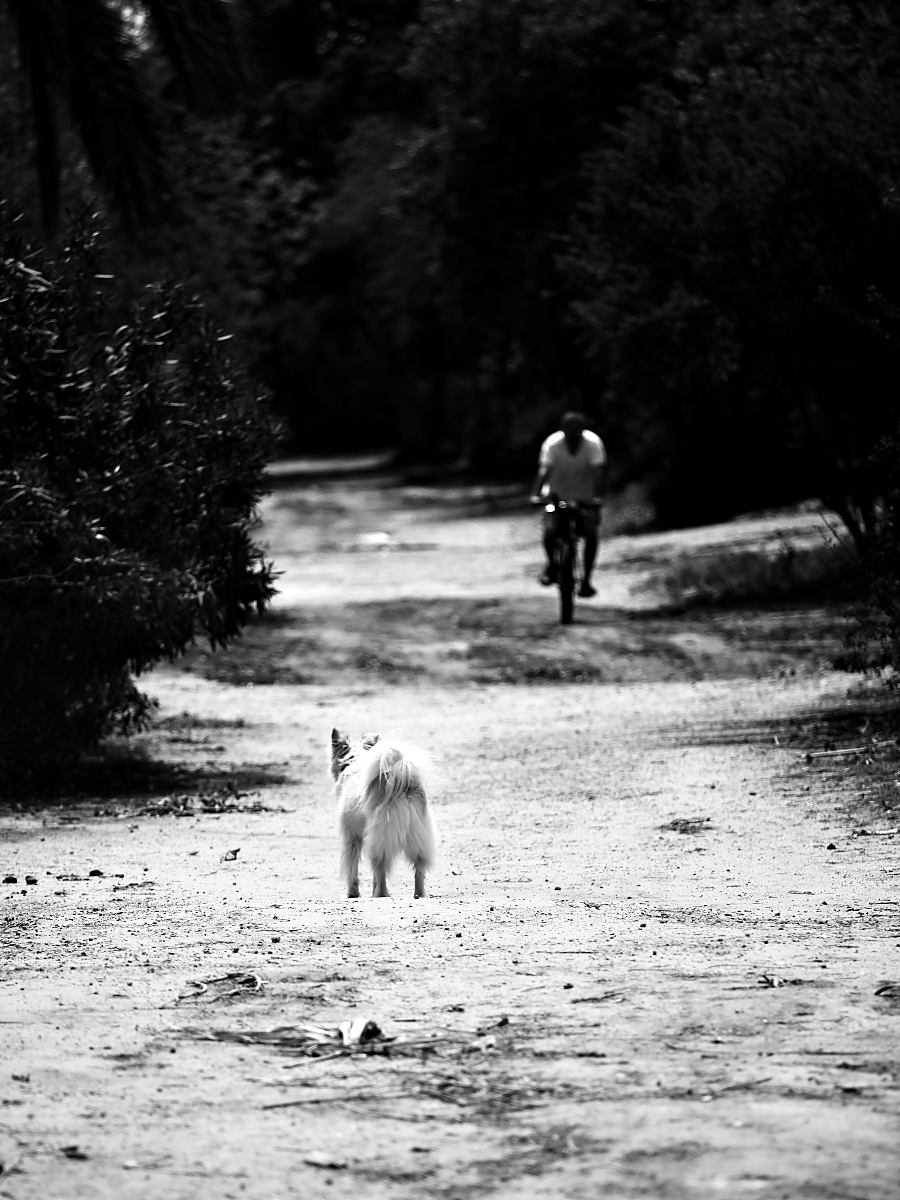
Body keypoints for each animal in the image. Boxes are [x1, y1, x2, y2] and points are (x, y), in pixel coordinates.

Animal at [333, 724, 439, 897]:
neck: (355, 762)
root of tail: (403, 785)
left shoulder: (351, 839)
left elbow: (352, 870)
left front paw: (352, 893)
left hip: (379, 840)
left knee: (381, 869)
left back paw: (381, 894)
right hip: (419, 839)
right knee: (419, 869)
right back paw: (418, 895)